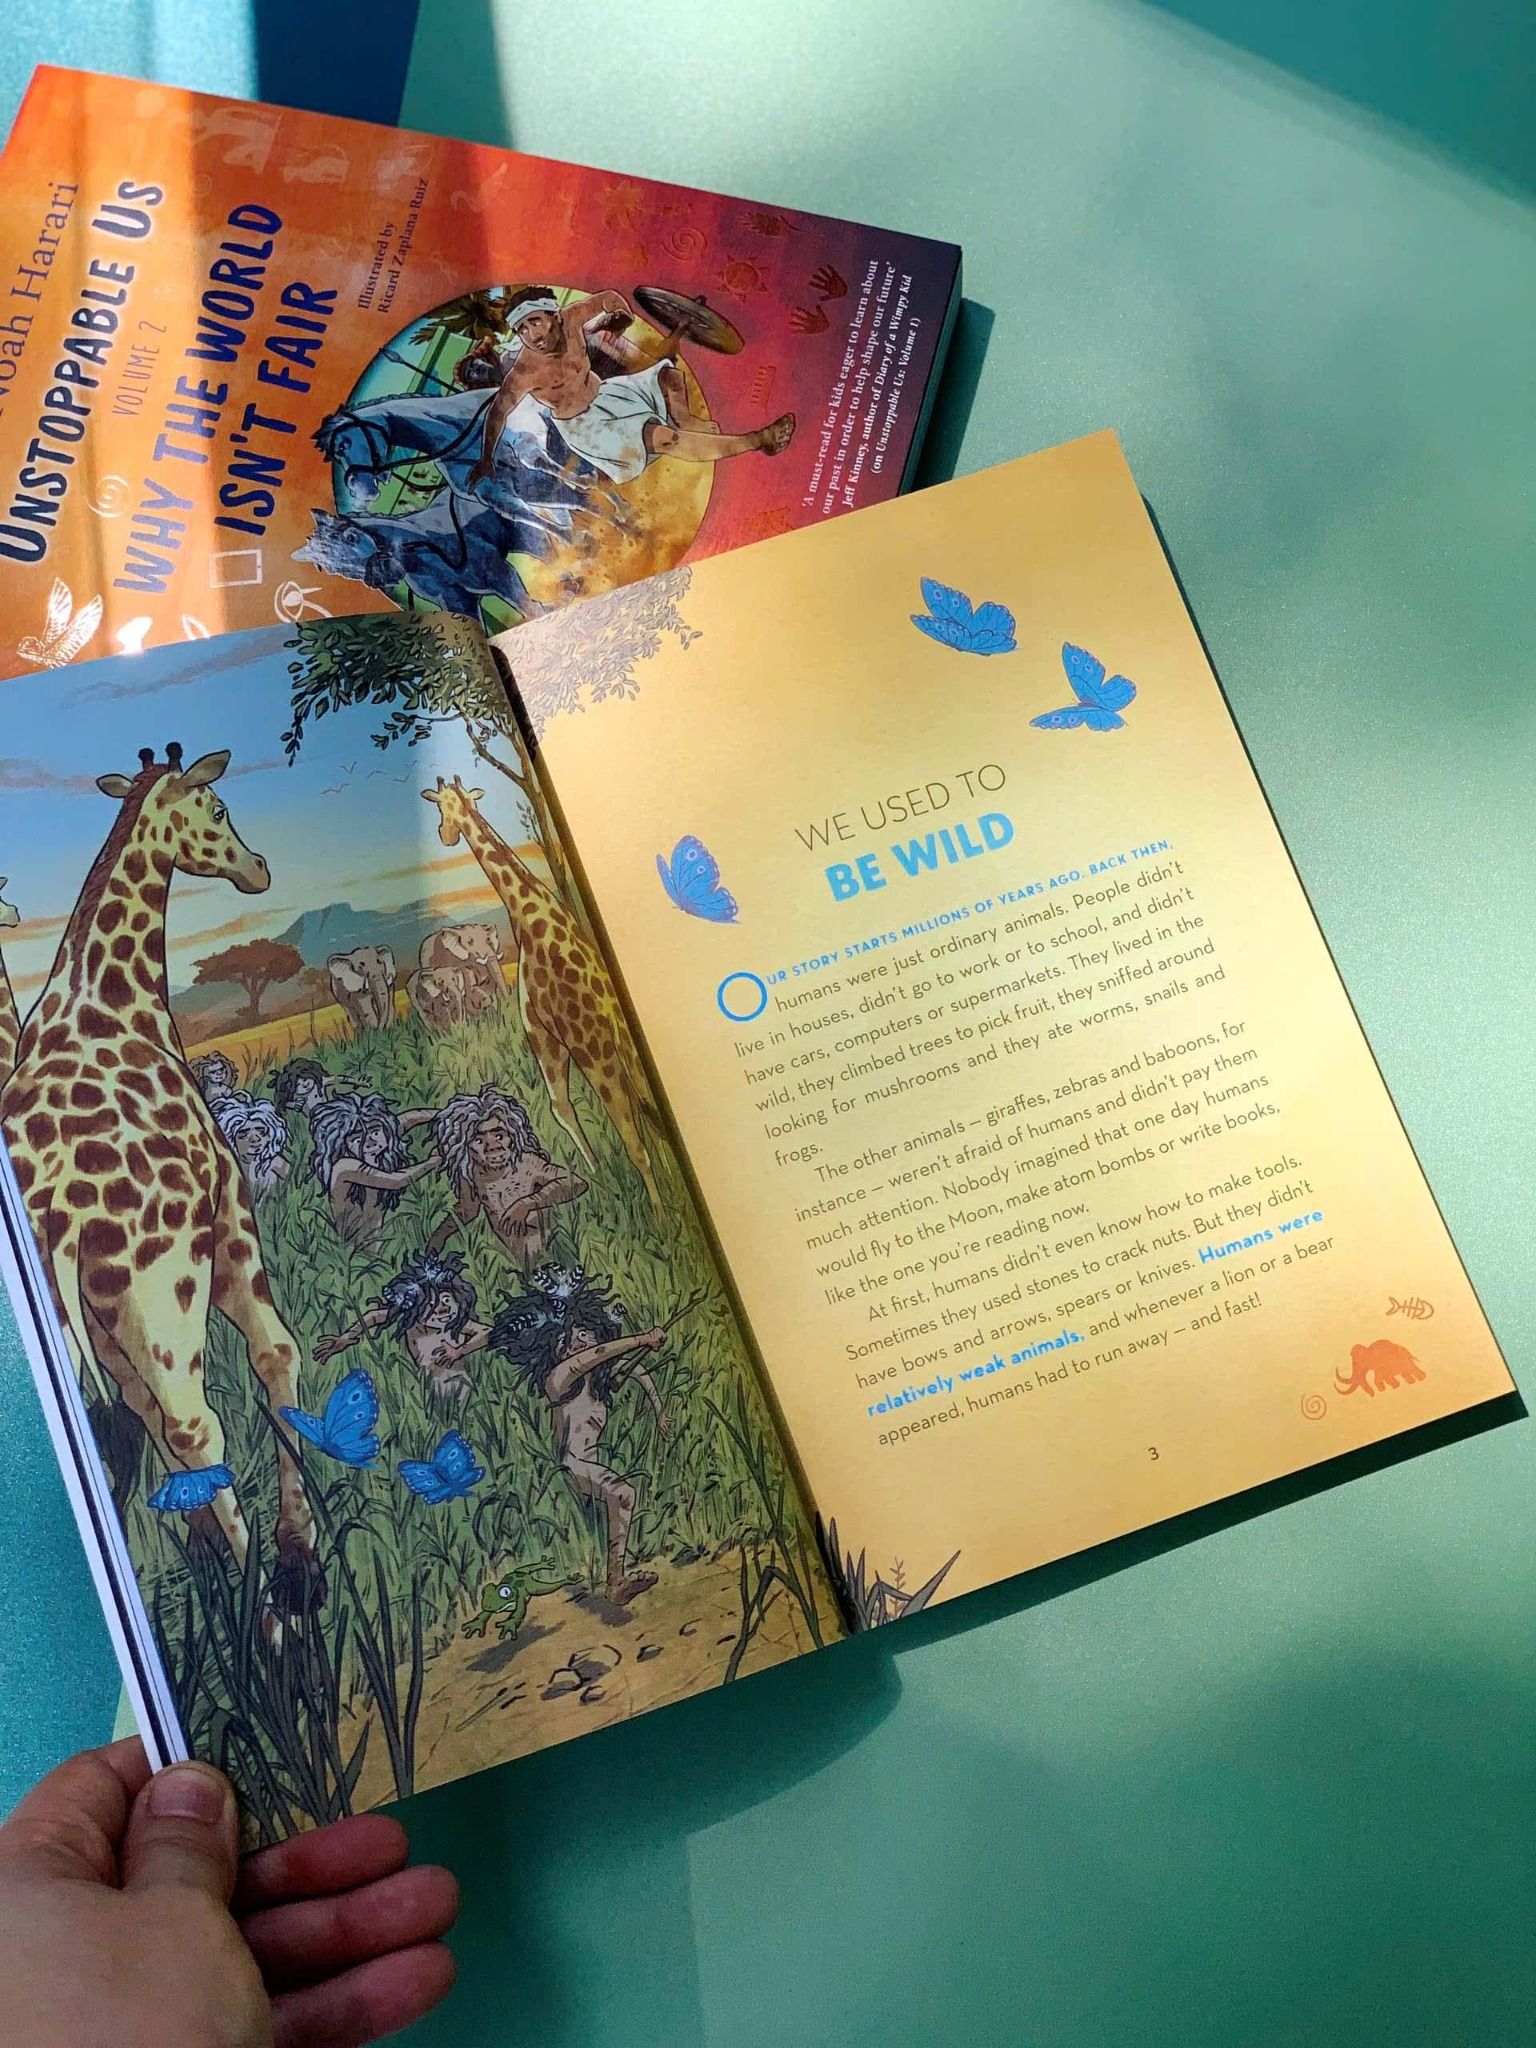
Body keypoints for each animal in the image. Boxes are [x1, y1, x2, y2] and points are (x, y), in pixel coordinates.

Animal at [0, 745, 320, 1606]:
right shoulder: (233, 1215)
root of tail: (60, 1210)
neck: (114, 1002)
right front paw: (299, 1546)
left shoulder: (101, 1328)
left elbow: (148, 1428)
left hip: (100, 1323)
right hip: (166, 1291)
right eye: (217, 807)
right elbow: (277, 1355)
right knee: (194, 1423)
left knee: (148, 1432)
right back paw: (267, 1617)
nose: (259, 868)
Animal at [421, 774, 662, 1212]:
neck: (526, 911)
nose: (444, 836)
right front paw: (593, 1177)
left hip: (597, 1054)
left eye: (443, 808)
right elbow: (566, 1106)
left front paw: (592, 1177)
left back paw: (659, 1213)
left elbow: (559, 1105)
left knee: (632, 1136)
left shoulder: (539, 1030)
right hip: (625, 1050)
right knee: (644, 1117)